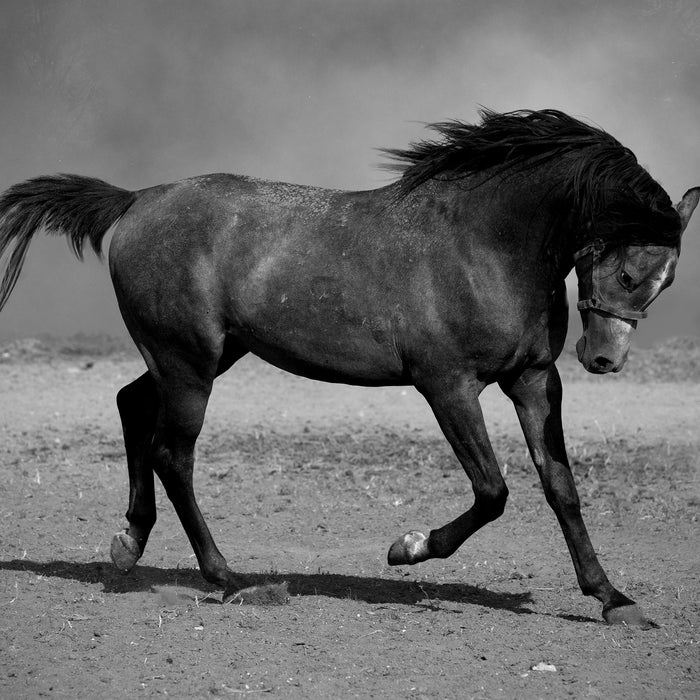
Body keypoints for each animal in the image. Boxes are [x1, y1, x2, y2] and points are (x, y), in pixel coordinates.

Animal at [1, 110, 700, 628]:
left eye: (666, 282)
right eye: (630, 271)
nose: (604, 358)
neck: (485, 246)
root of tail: (137, 199)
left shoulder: (532, 379)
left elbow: (560, 486)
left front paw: (614, 600)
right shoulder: (447, 385)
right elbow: (493, 490)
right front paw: (407, 548)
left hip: (206, 357)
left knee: (131, 404)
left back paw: (128, 546)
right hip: (189, 364)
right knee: (173, 453)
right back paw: (232, 580)